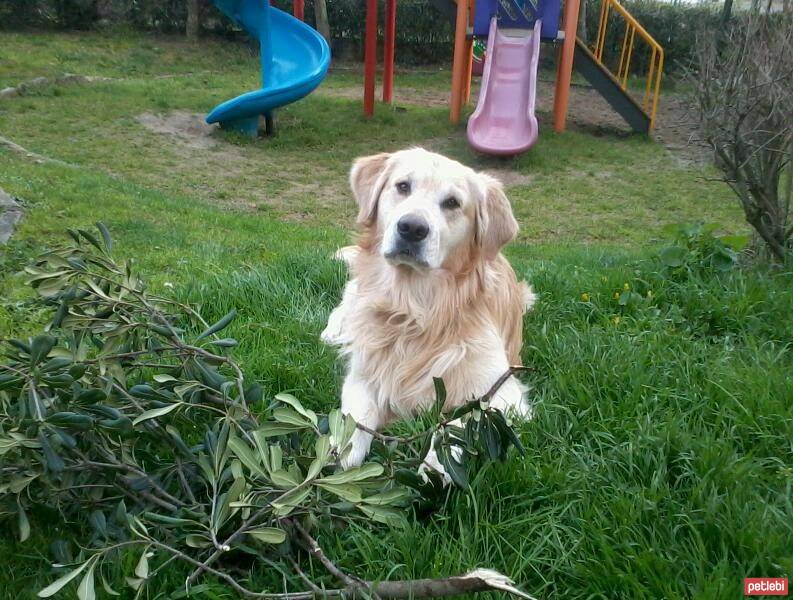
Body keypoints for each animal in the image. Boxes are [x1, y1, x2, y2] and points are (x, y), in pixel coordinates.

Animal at [320, 146, 532, 468]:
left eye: (452, 203)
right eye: (403, 186)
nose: (412, 228)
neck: (413, 310)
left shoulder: (502, 392)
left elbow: (458, 424)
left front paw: (433, 466)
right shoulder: (363, 374)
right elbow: (356, 417)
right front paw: (340, 456)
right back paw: (333, 331)